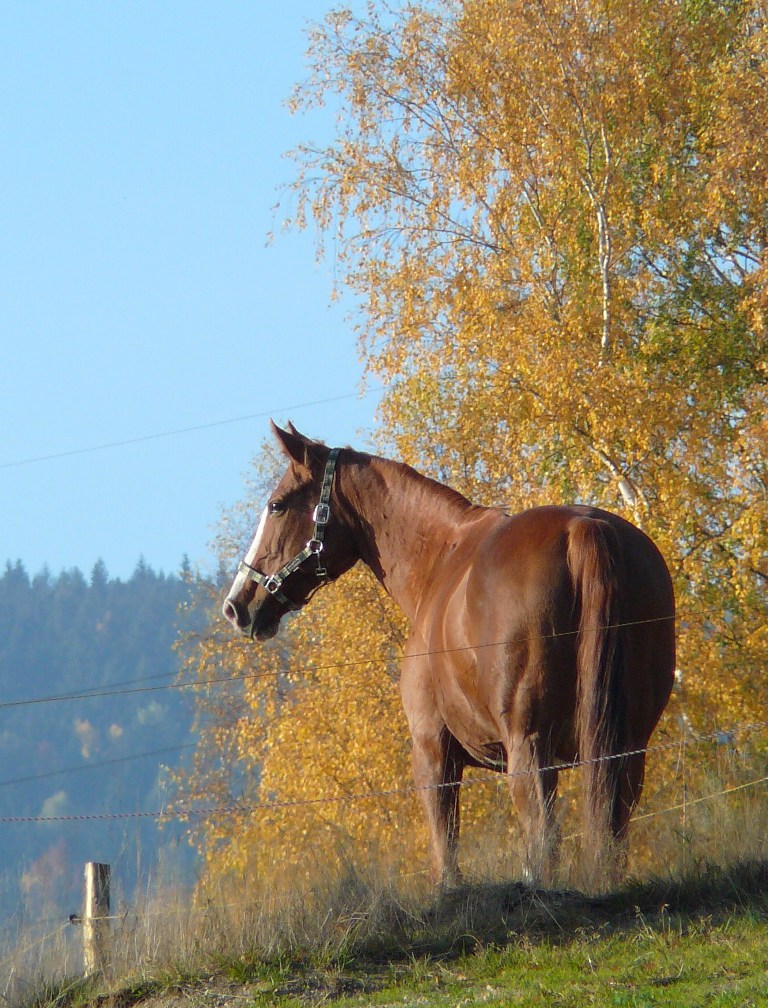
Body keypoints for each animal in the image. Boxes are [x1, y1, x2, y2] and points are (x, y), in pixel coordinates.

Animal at [221, 421, 669, 887]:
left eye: (276, 506)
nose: (237, 605)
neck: (439, 558)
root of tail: (583, 528)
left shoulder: (433, 754)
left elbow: (447, 859)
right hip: (625, 748)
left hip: (530, 750)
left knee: (543, 836)